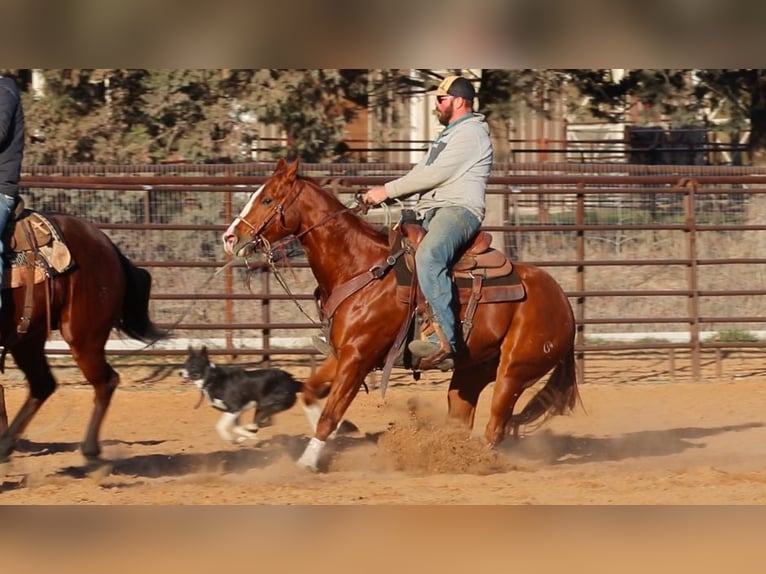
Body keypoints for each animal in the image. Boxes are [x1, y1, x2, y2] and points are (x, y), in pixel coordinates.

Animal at [0, 212, 166, 464]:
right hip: (27, 339)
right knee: (42, 384)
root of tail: (109, 247)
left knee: (106, 381)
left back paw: (90, 451)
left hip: (83, 338)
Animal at [224, 159, 584, 472]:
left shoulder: (359, 357)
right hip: (472, 371)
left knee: (495, 427)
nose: (230, 238)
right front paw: (339, 434)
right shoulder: (344, 353)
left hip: (513, 372)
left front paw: (307, 463)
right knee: (462, 419)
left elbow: (330, 412)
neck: (360, 267)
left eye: (267, 198)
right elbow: (311, 391)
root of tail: (564, 302)